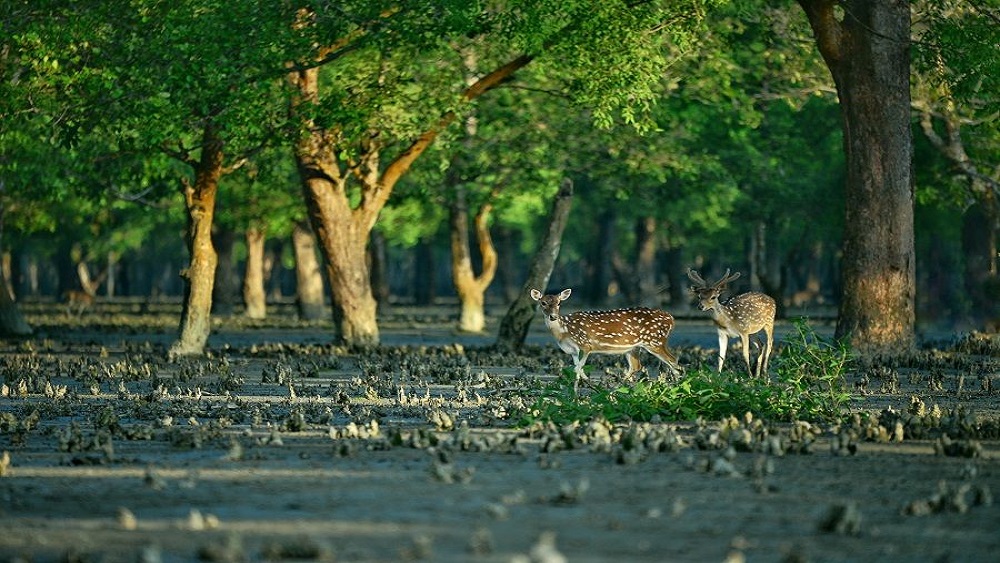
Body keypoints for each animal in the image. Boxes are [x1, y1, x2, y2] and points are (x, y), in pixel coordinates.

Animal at [532, 288, 680, 394]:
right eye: (543, 303)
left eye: (559, 303)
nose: (553, 316)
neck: (564, 331)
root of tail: (671, 319)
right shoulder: (572, 351)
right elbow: (578, 369)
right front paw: (578, 393)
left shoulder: (586, 344)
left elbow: (577, 368)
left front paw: (584, 392)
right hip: (633, 347)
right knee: (636, 366)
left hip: (655, 341)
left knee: (673, 360)